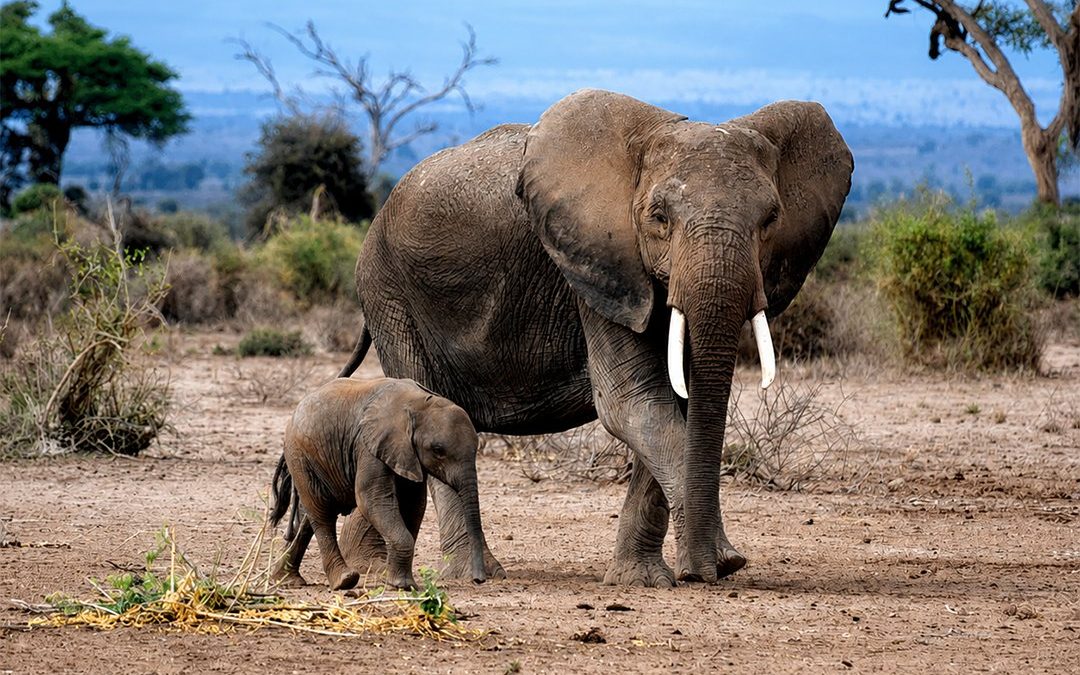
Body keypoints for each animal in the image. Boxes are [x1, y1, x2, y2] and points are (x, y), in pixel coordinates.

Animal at [268, 377, 490, 590]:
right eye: (438, 450)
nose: (478, 580)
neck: (419, 403)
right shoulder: (369, 446)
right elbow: (372, 499)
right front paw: (403, 585)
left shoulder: (405, 453)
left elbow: (414, 504)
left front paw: (395, 582)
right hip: (300, 456)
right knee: (322, 515)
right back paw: (344, 581)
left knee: (311, 515)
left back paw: (287, 580)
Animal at [333, 89, 853, 586]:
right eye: (659, 217)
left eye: (771, 219)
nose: (713, 568)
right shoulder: (596, 267)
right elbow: (633, 404)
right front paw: (717, 563)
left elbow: (676, 405)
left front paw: (643, 580)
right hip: (389, 294)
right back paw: (465, 575)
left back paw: (373, 566)